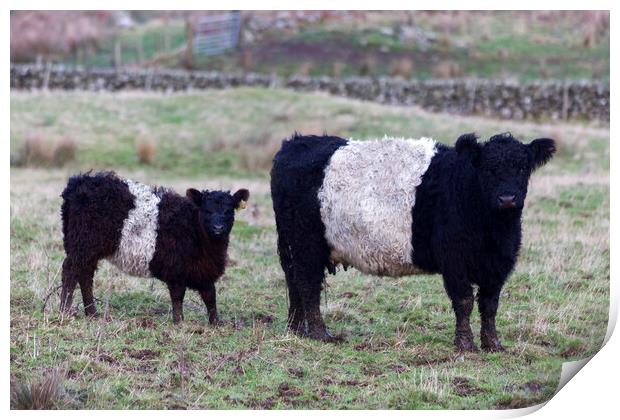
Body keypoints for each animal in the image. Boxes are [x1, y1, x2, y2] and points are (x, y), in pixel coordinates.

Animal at [59, 172, 249, 324]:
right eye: (207, 210)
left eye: (229, 211)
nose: (218, 228)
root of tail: (80, 181)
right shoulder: (177, 269)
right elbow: (178, 296)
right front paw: (179, 322)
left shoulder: (204, 270)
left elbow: (210, 296)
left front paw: (216, 323)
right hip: (82, 244)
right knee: (71, 271)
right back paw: (65, 312)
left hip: (87, 248)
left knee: (85, 275)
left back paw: (92, 313)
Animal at [272, 132, 556, 352]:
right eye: (488, 169)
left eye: (523, 168)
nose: (507, 199)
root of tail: (295, 142)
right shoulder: (454, 261)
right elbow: (464, 301)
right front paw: (465, 345)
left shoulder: (498, 265)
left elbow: (490, 305)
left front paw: (493, 345)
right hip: (306, 242)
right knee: (308, 284)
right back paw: (320, 334)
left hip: (292, 245)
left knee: (294, 282)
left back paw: (295, 329)